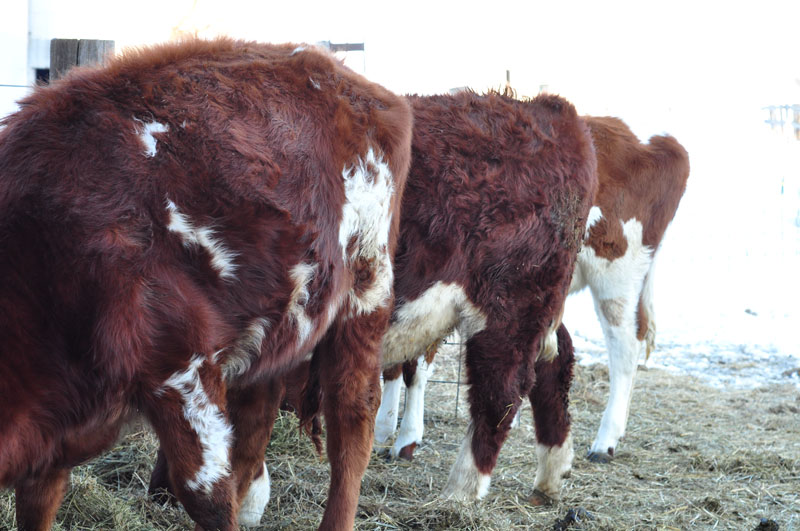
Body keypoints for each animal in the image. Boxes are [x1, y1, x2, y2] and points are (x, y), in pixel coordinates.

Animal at [0, 38, 412, 531]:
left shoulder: (183, 367)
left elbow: (207, 497)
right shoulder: (50, 436)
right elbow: (37, 502)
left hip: (366, 293)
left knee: (352, 422)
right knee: (257, 418)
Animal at [376, 115, 689, 471]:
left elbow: (415, 364)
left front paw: (406, 438)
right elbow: (393, 362)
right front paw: (383, 429)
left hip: (616, 271)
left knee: (624, 347)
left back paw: (605, 442)